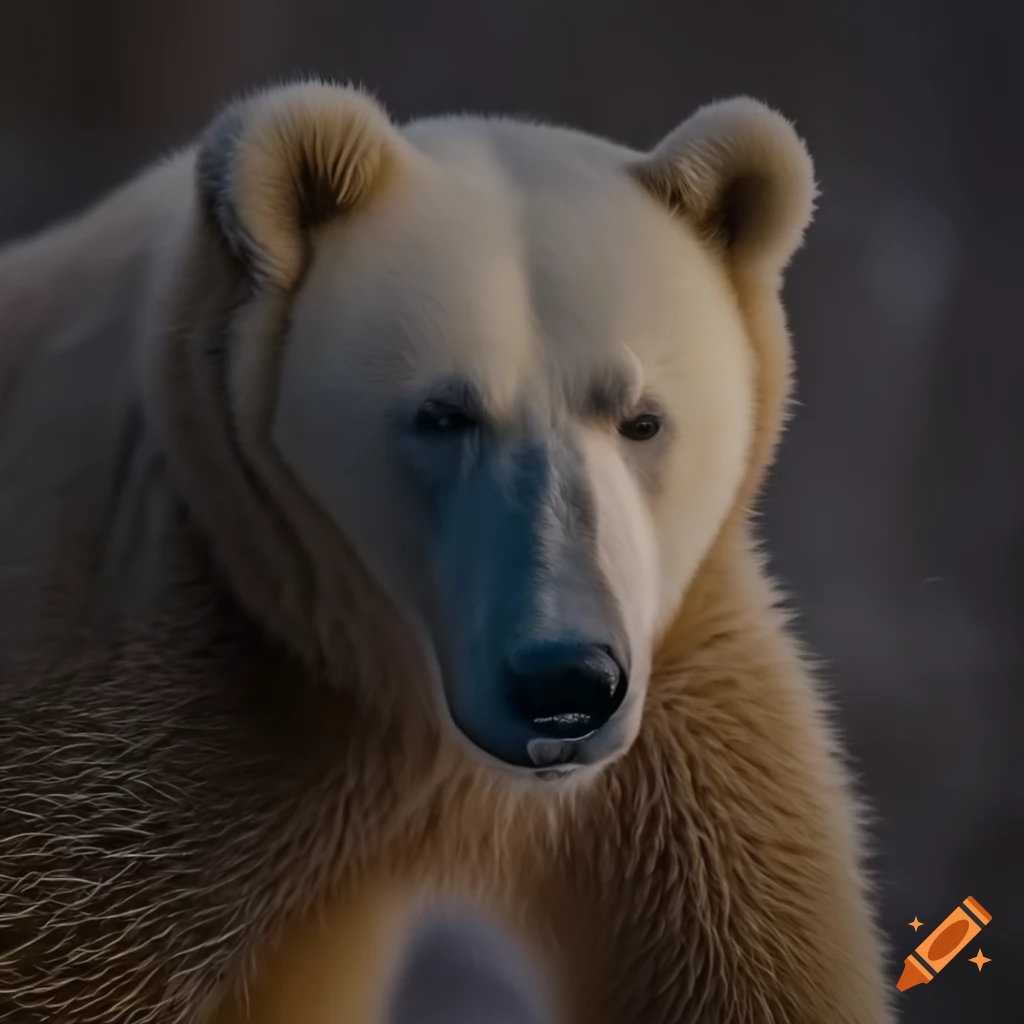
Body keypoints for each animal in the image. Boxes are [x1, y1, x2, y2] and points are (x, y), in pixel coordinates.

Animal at [0, 79, 892, 1024]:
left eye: (642, 418)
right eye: (443, 413)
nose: (565, 686)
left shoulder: (685, 729)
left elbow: (749, 958)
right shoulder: (155, 707)